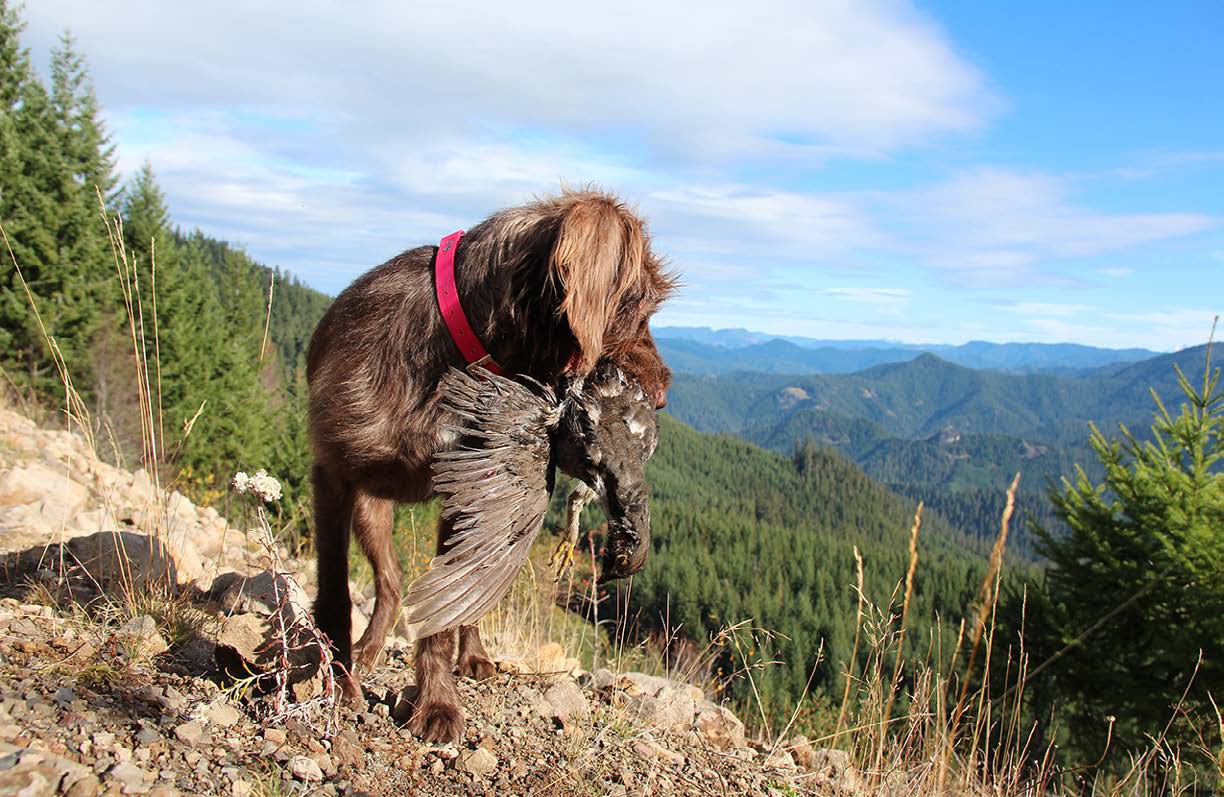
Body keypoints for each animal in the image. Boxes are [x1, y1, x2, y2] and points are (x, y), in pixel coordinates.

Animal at [302, 189, 675, 744]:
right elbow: (333, 594)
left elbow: (447, 612)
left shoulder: (467, 491)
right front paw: (339, 683)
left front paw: (436, 702)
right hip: (372, 507)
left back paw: (471, 655)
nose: (662, 394)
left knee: (448, 589)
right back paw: (366, 653)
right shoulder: (333, 475)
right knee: (389, 582)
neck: (453, 354)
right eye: (637, 301)